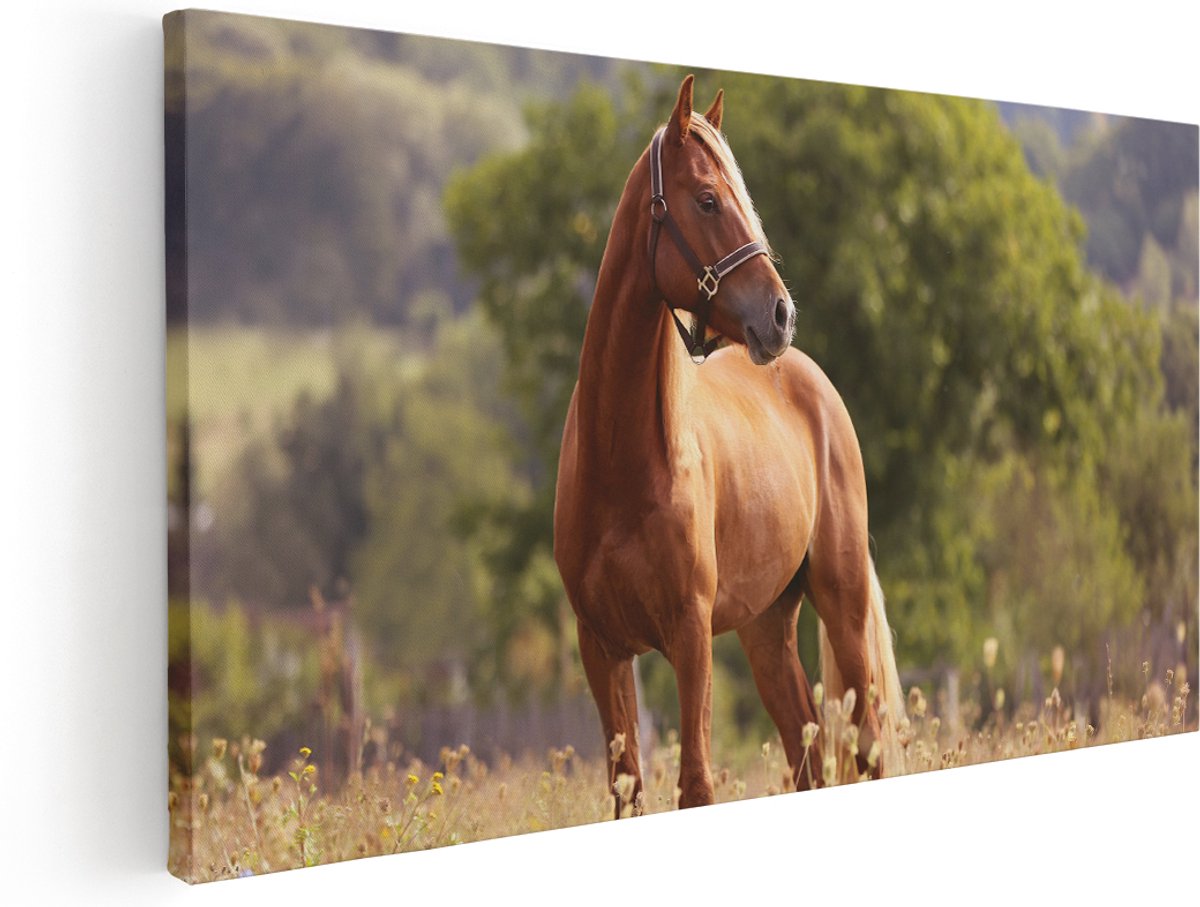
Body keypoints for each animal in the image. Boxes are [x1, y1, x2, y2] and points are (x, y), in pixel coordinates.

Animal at [553, 75, 904, 813]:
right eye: (709, 199)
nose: (781, 314)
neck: (622, 463)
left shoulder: (690, 638)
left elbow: (696, 784)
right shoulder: (602, 649)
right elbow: (628, 791)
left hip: (843, 605)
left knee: (866, 747)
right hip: (766, 628)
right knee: (807, 751)